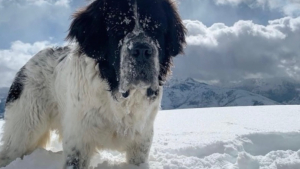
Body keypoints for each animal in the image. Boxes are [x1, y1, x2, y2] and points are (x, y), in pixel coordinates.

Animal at [0, 0, 185, 168]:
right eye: (117, 28)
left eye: (156, 28)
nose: (141, 50)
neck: (117, 97)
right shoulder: (79, 142)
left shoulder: (140, 144)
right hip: (24, 130)